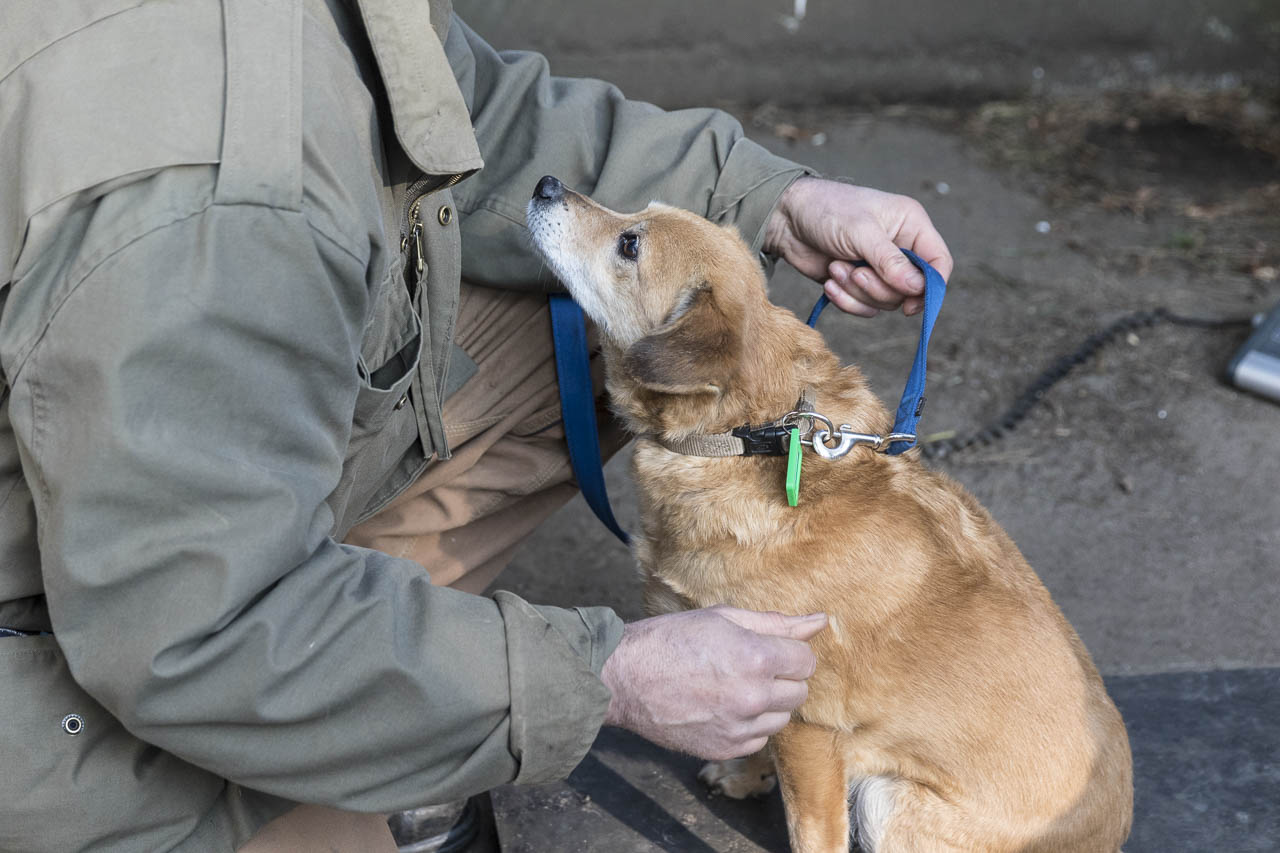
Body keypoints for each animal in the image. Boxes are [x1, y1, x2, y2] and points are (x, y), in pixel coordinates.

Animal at [526, 175, 1133, 853]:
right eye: (640, 210)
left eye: (630, 243)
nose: (546, 183)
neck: (754, 438)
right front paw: (746, 773)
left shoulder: (810, 729)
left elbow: (812, 830)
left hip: (888, 802)